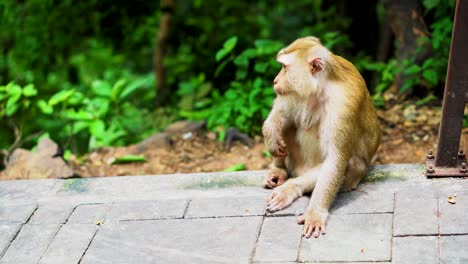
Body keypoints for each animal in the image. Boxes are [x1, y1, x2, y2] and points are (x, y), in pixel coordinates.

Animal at [262, 36, 382, 238]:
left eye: (284, 67)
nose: (275, 80)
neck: (321, 87)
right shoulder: (295, 91)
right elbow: (283, 110)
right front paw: (270, 131)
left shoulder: (343, 106)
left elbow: (335, 161)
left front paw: (315, 212)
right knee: (289, 122)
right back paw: (278, 170)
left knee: (350, 164)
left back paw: (291, 187)